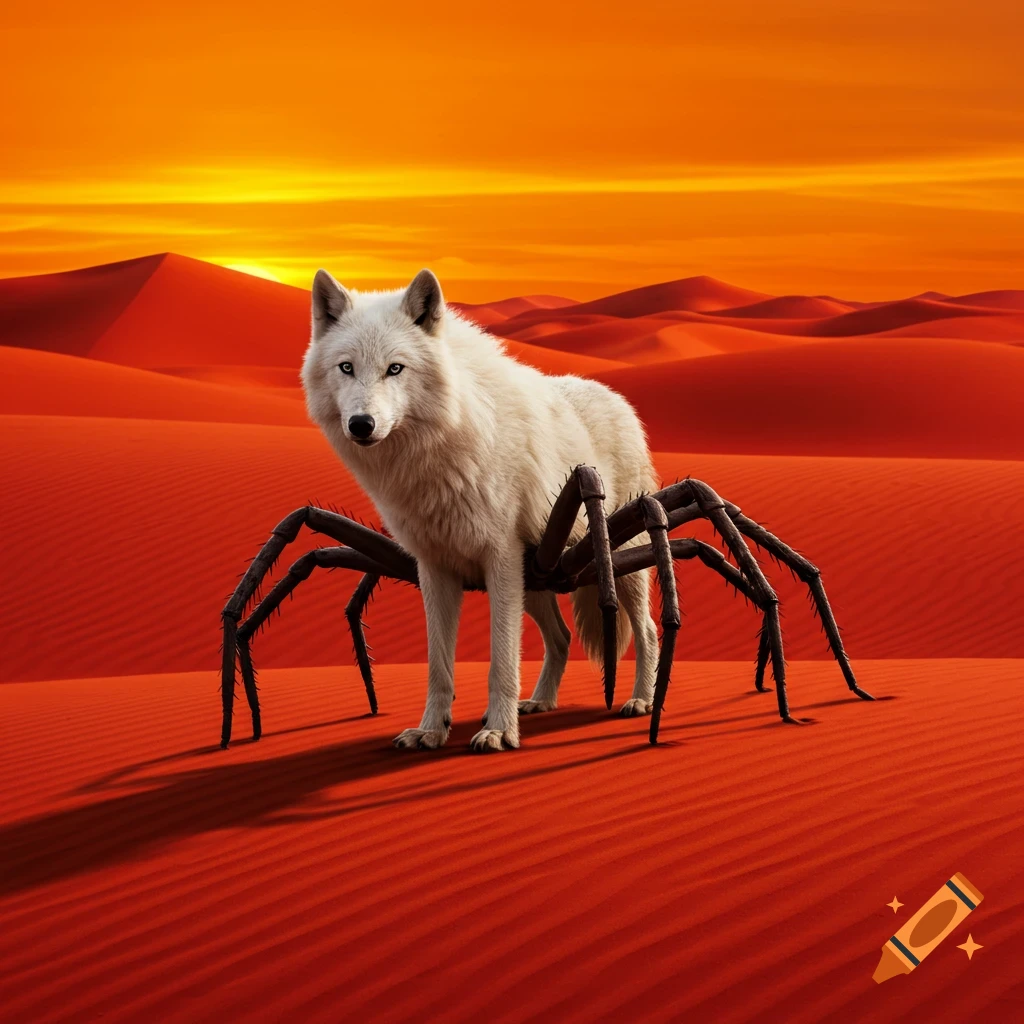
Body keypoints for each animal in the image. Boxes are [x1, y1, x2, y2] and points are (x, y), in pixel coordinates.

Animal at [301, 268, 661, 752]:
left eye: (395, 368)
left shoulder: (501, 559)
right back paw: (541, 702)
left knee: (646, 630)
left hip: (616, 562)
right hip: (539, 582)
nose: (362, 425)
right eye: (346, 367)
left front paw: (499, 730)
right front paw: (431, 730)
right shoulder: (433, 568)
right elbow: (438, 665)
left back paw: (640, 700)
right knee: (561, 637)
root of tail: (615, 397)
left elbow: (502, 658)